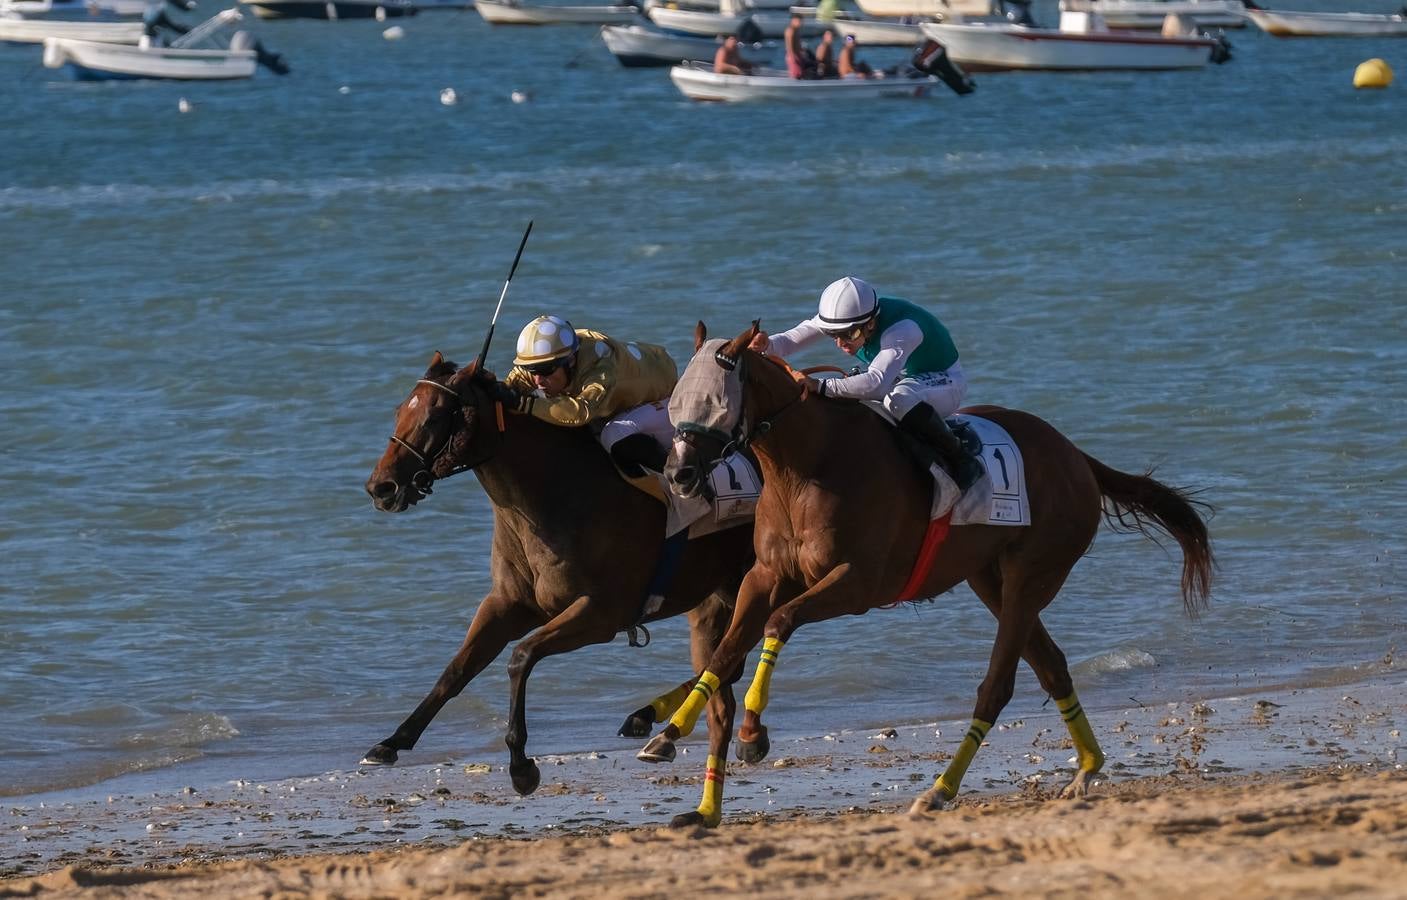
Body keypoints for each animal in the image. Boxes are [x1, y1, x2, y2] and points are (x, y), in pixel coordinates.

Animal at [363, 350, 759, 821]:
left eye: (435, 416)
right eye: (399, 410)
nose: (381, 487)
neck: (556, 494)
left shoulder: (601, 614)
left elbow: (521, 657)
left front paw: (521, 766)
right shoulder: (507, 604)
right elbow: (457, 669)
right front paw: (391, 742)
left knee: (731, 660)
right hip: (718, 592)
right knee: (726, 662)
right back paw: (649, 720)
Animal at [638, 323, 1210, 815]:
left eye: (715, 402)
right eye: (675, 400)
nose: (678, 473)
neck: (809, 466)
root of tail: (1076, 457)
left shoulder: (858, 584)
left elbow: (779, 623)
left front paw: (753, 734)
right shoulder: (764, 577)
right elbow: (725, 652)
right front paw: (668, 731)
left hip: (1032, 576)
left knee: (997, 686)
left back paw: (939, 790)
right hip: (989, 579)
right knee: (1051, 666)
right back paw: (1087, 768)